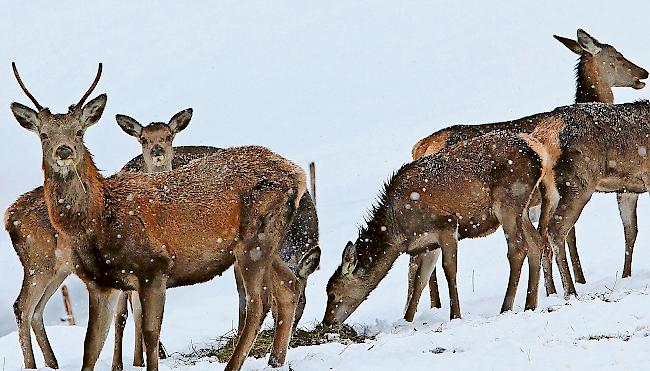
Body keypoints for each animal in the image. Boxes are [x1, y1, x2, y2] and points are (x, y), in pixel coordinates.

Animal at [5, 64, 306, 371]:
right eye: (43, 135)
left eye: (79, 132)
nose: (63, 150)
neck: (101, 218)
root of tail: (298, 173)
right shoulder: (101, 284)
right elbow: (91, 347)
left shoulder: (154, 268)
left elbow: (150, 333)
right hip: (267, 243)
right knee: (289, 285)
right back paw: (276, 361)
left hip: (255, 237)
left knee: (258, 303)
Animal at [322, 132, 544, 326]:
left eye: (332, 293)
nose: (326, 322)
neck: (399, 233)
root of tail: (537, 154)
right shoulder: (429, 244)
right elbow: (421, 279)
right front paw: (407, 320)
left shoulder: (446, 223)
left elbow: (449, 270)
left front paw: (455, 316)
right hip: (522, 209)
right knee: (536, 242)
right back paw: (530, 305)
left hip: (508, 202)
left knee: (518, 249)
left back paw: (506, 308)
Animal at [532, 101, 648, 300]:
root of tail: (544, 136)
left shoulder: (627, 190)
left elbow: (631, 231)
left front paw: (626, 276)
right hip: (579, 183)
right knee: (555, 230)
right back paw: (570, 291)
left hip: (549, 191)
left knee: (542, 232)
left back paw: (551, 292)